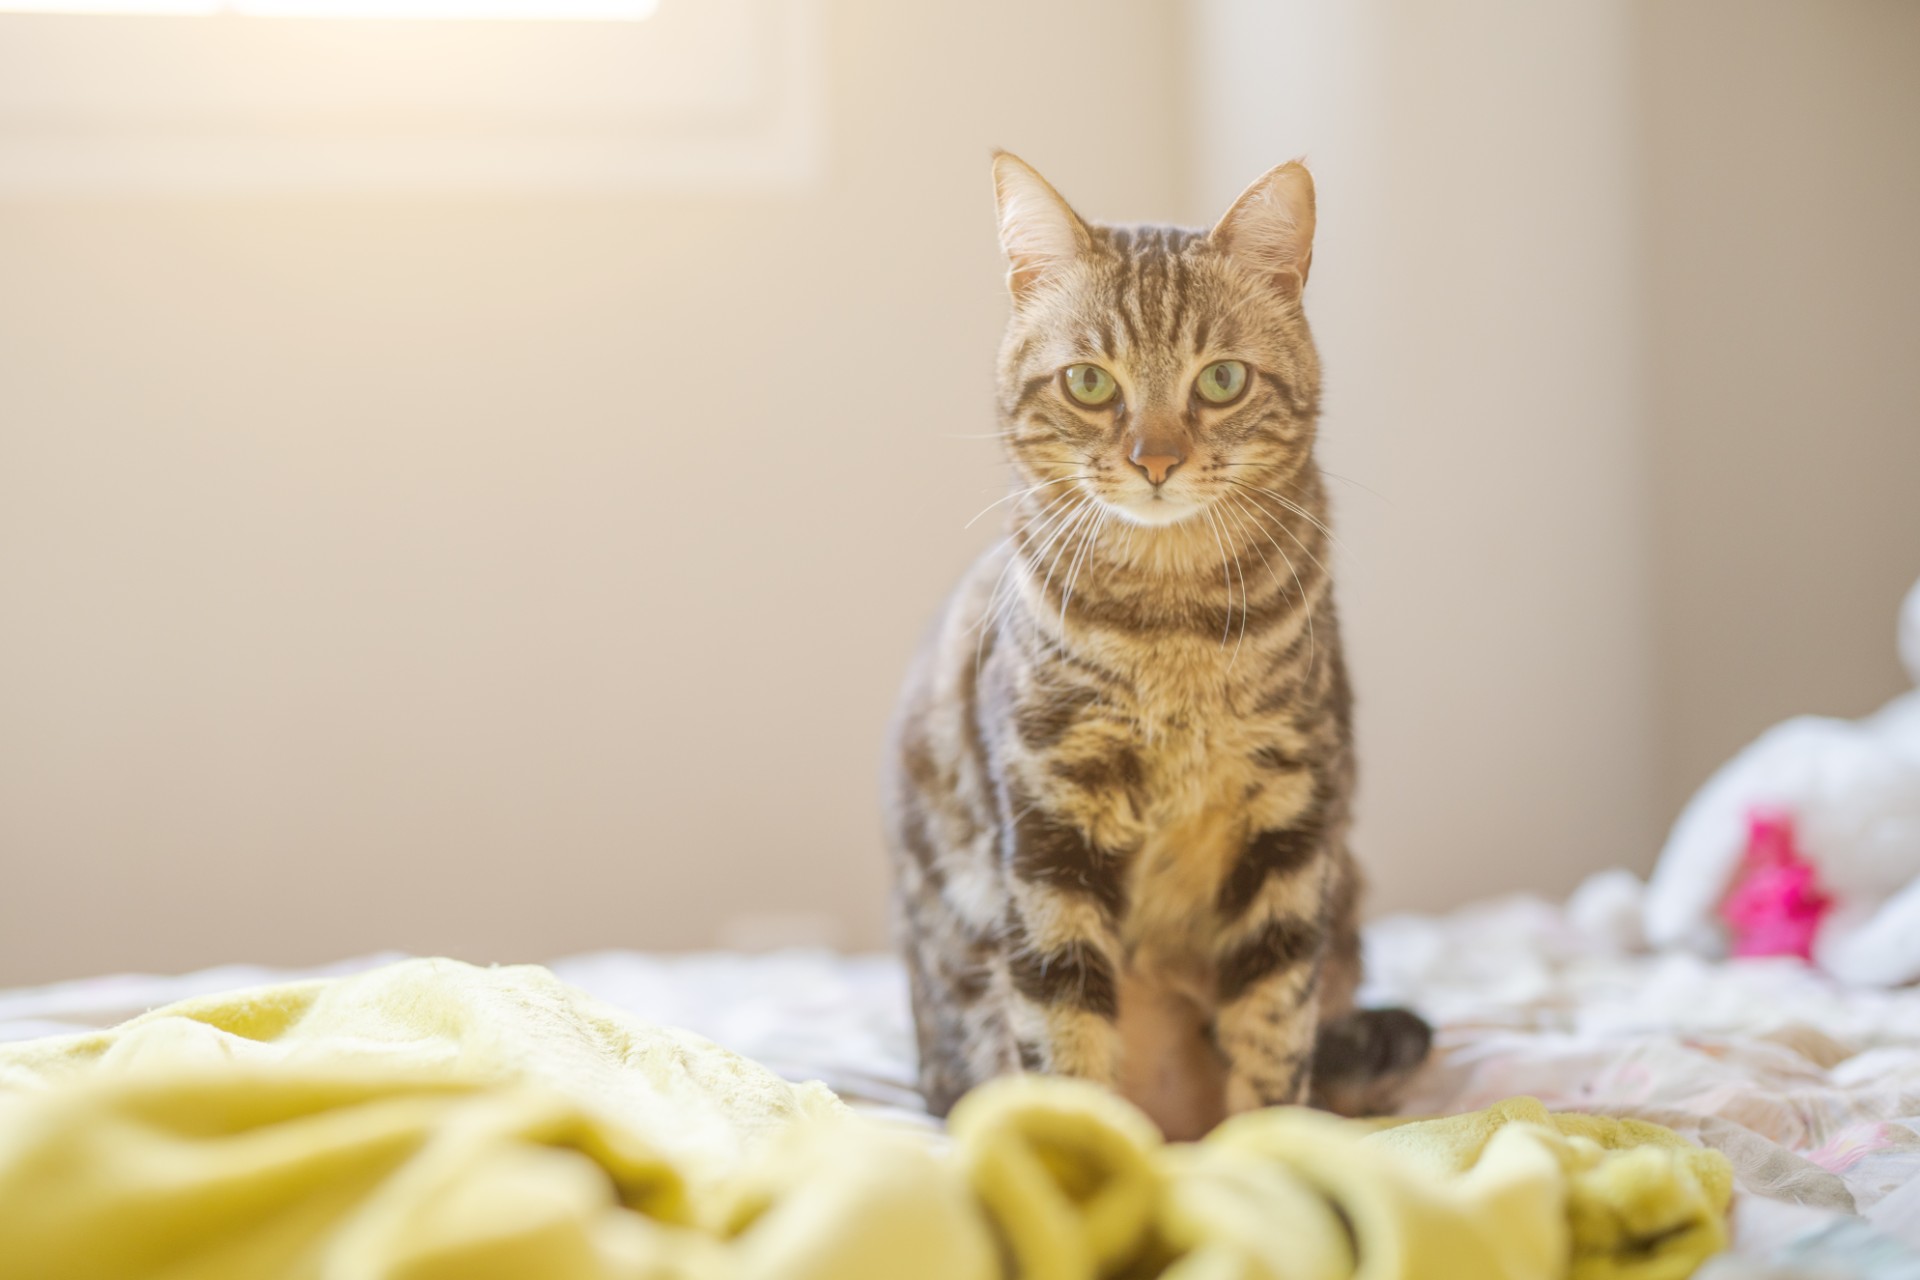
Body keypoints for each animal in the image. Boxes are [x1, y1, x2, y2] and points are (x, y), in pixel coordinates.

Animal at [883, 152, 1428, 1143]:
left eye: (1222, 380)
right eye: (1089, 383)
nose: (1156, 460)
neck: (1175, 631)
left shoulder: (1288, 824)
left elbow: (1273, 1029)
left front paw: (1268, 1151)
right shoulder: (1052, 827)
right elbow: (1063, 1037)